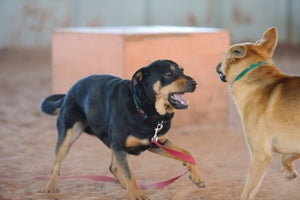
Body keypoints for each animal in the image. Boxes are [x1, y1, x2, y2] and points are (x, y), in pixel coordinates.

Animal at [39, 59, 204, 200]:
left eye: (182, 70)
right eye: (168, 74)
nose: (194, 83)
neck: (147, 110)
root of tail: (69, 92)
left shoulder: (156, 143)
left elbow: (185, 153)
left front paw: (195, 176)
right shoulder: (121, 146)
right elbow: (130, 174)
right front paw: (137, 195)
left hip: (114, 142)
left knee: (113, 167)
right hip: (68, 136)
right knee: (56, 164)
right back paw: (49, 187)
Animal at [216, 27, 300, 200]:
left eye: (223, 58)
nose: (217, 65)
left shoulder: (260, 155)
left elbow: (248, 191)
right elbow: (287, 155)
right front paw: (289, 171)